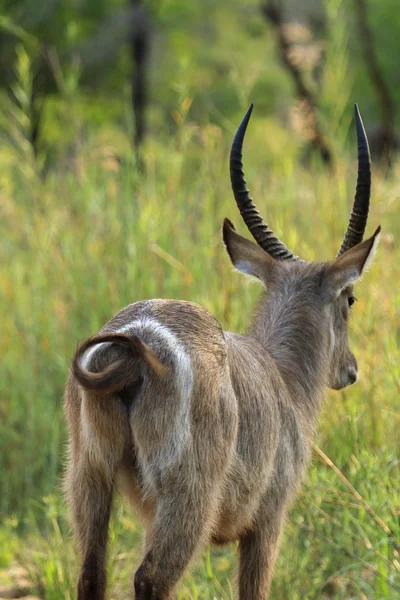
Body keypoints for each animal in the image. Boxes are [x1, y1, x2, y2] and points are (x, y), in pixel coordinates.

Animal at [65, 105, 382, 596]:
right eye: (350, 298)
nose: (350, 370)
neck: (282, 376)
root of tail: (135, 344)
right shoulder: (268, 520)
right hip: (187, 499)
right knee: (151, 578)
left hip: (89, 475)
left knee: (91, 574)